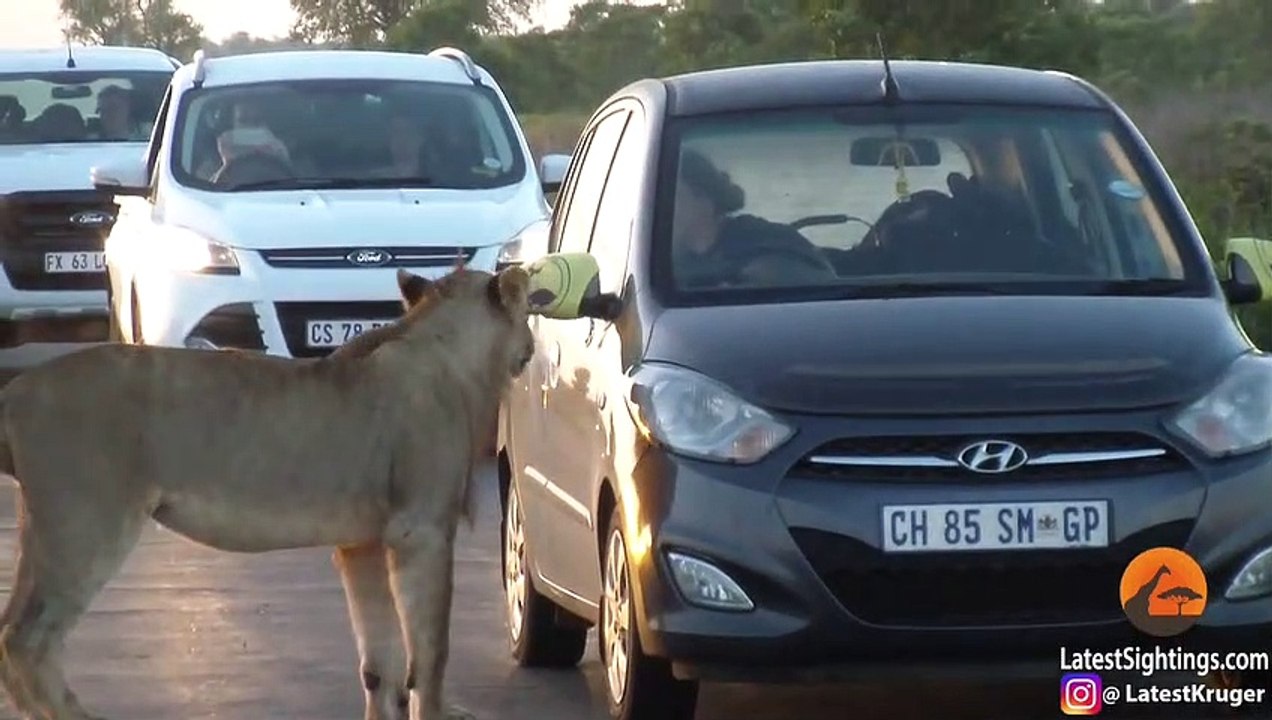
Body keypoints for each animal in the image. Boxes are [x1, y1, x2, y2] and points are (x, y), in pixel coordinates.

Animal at [0, 263, 537, 720]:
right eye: (529, 306)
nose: (532, 343)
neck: (444, 349)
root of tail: (17, 390)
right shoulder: (421, 532)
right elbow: (431, 653)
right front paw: (439, 709)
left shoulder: (361, 543)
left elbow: (378, 661)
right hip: (87, 523)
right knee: (28, 640)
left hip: (44, 525)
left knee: (10, 633)